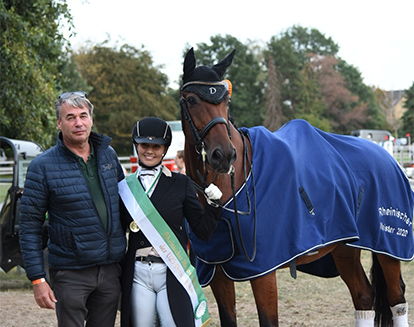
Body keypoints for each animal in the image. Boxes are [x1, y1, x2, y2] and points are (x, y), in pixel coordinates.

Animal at [179, 46, 414, 327]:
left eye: (225, 102)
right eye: (192, 100)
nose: (224, 155)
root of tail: (389, 157)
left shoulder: (263, 272)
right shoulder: (217, 272)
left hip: (389, 247)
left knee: (396, 298)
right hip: (345, 249)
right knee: (364, 296)